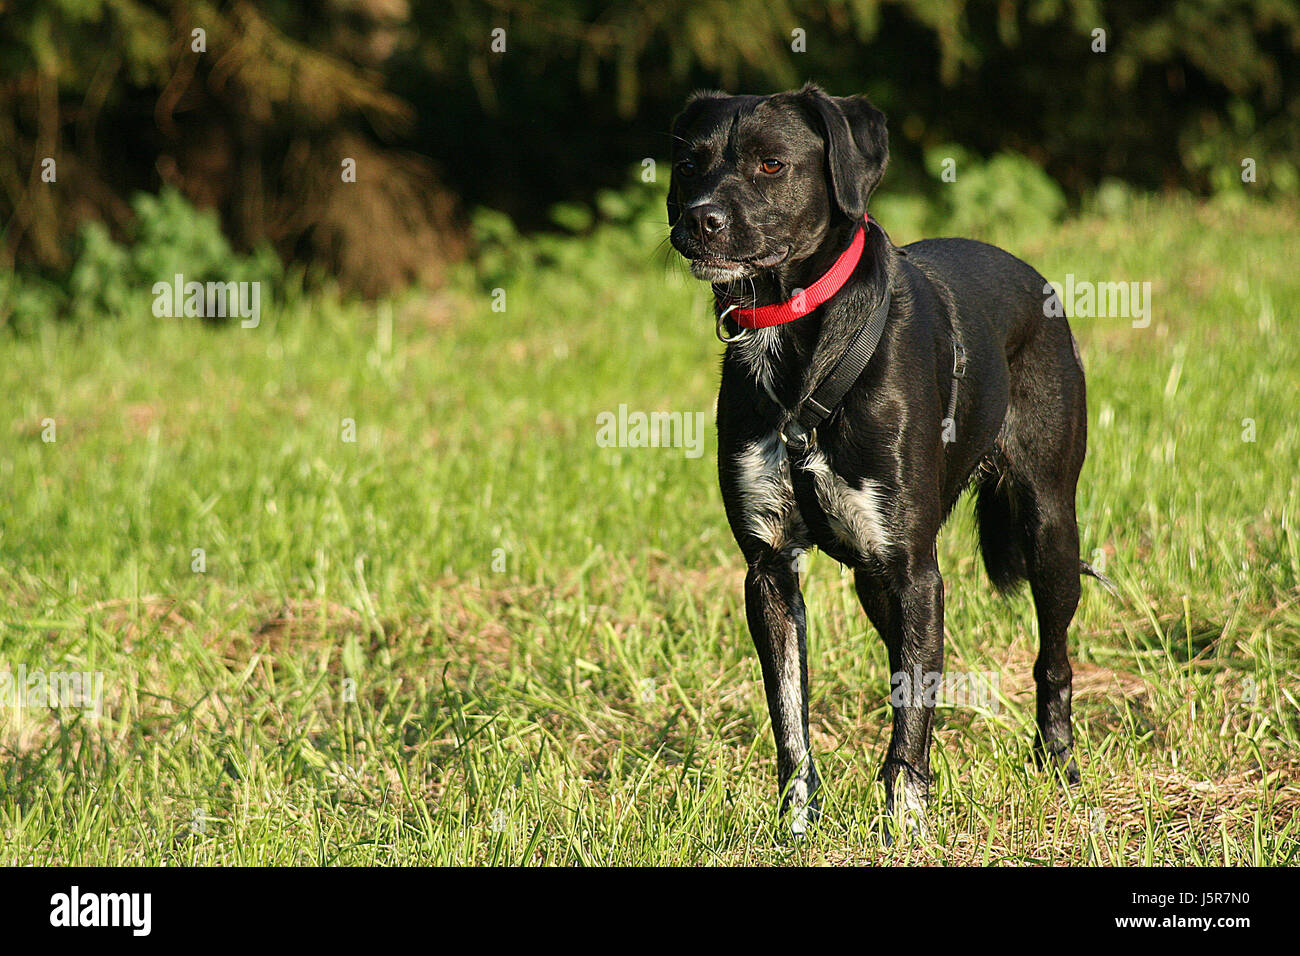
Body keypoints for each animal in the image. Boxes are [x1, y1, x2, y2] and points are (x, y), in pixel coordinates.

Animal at [670, 87, 1107, 837]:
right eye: (690, 162)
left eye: (770, 163)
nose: (700, 219)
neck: (799, 343)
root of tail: (1034, 277)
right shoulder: (769, 571)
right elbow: (791, 719)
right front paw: (796, 826)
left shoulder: (914, 570)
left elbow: (910, 710)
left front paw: (907, 823)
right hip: (874, 579)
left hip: (1048, 528)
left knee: (1053, 661)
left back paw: (1061, 769)